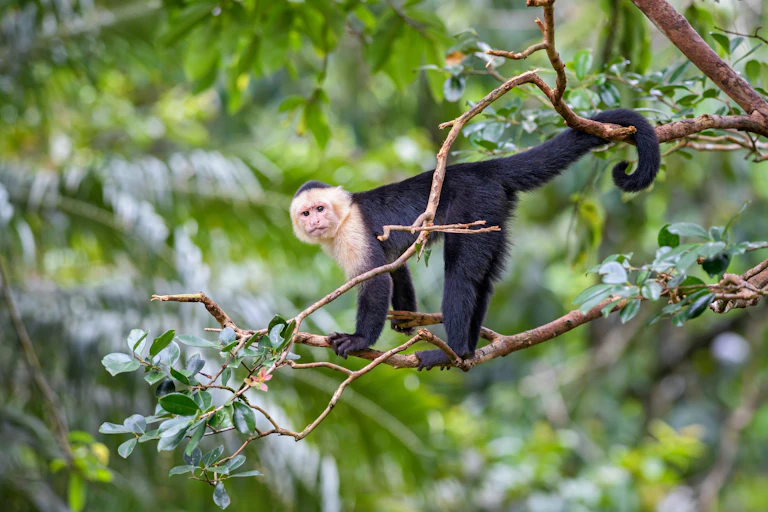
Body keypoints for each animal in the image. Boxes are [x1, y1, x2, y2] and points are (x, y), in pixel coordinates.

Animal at [290, 109, 661, 371]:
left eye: (320, 208)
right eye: (305, 213)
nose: (316, 221)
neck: (343, 216)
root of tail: (481, 170)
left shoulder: (352, 231)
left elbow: (376, 279)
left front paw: (359, 340)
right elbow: (395, 268)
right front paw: (406, 318)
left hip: (474, 207)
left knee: (460, 274)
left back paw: (453, 350)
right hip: (493, 214)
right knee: (483, 280)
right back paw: (468, 349)